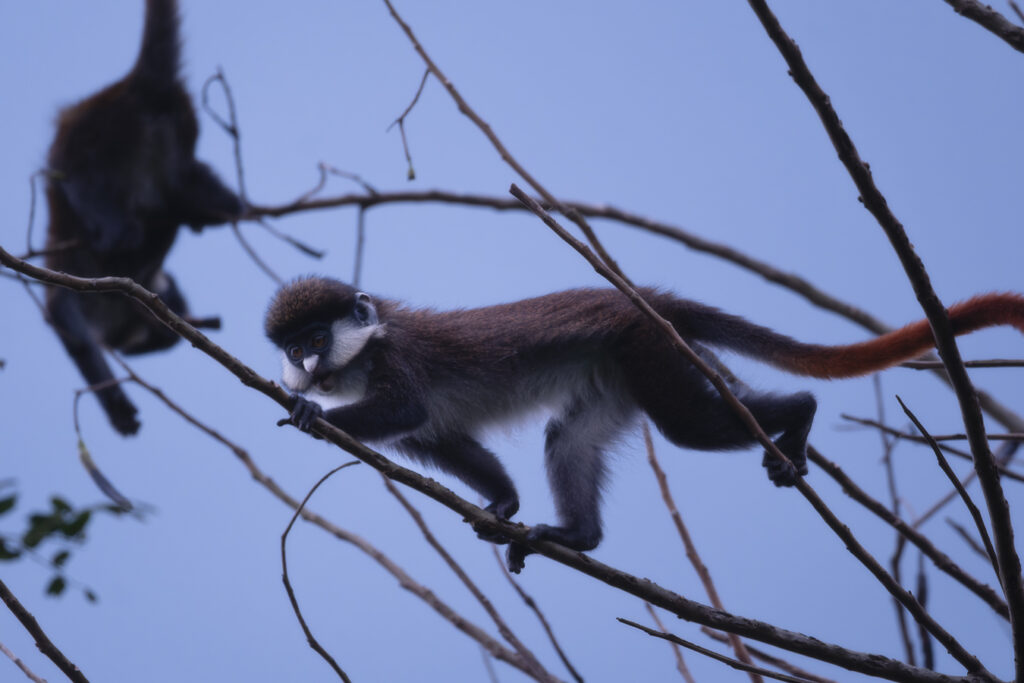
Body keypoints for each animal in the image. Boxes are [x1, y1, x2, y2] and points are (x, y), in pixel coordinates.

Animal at [44, 0, 243, 435]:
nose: (172, 299)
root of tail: (133, 87)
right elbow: (64, 312)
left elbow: (65, 314)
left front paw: (117, 404)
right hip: (162, 133)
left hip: (101, 134)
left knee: (85, 179)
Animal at [264, 277, 1024, 571]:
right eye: (292, 347)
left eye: (315, 337)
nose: (305, 367)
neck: (363, 353)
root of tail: (649, 302)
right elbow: (440, 436)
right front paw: (503, 503)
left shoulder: (398, 366)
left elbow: (408, 412)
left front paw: (308, 413)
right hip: (620, 371)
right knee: (568, 437)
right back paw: (578, 536)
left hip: (647, 351)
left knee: (689, 424)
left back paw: (799, 418)